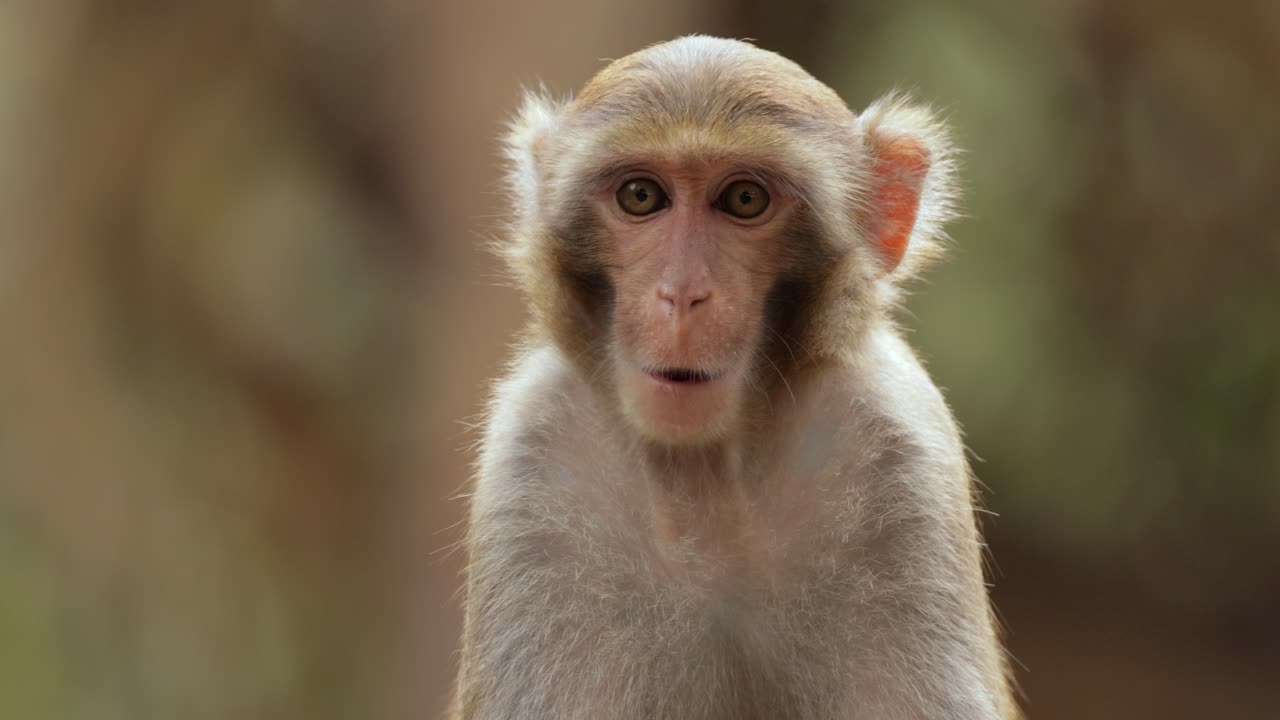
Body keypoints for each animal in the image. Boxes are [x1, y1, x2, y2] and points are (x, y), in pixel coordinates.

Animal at [451, 36, 1019, 720]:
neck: (705, 477)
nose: (681, 295)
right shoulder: (532, 461)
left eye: (744, 200)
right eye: (641, 196)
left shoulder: (900, 453)